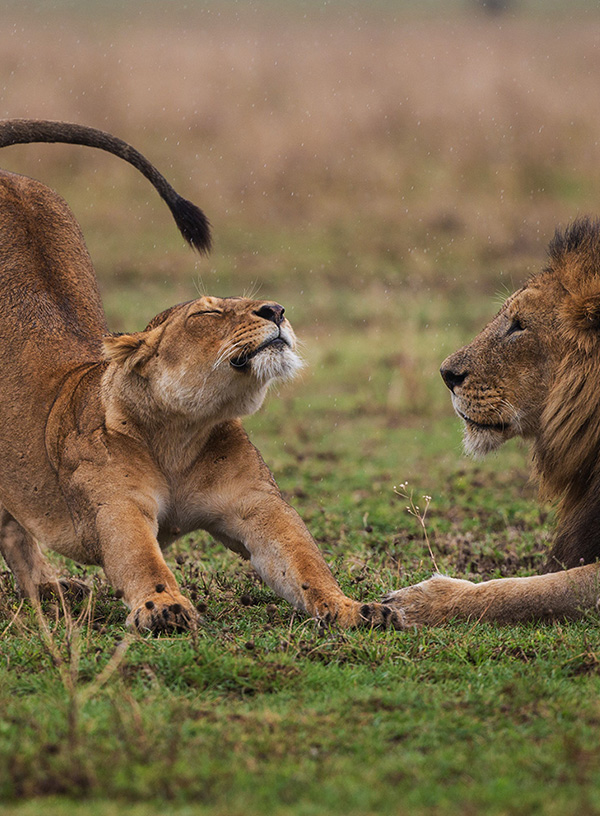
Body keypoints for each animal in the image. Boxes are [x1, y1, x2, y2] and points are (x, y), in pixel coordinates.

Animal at [0, 119, 402, 633]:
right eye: (208, 312)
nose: (277, 310)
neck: (182, 433)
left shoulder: (258, 505)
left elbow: (304, 562)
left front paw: (353, 608)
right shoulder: (117, 507)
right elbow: (141, 559)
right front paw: (164, 606)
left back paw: (49, 590)